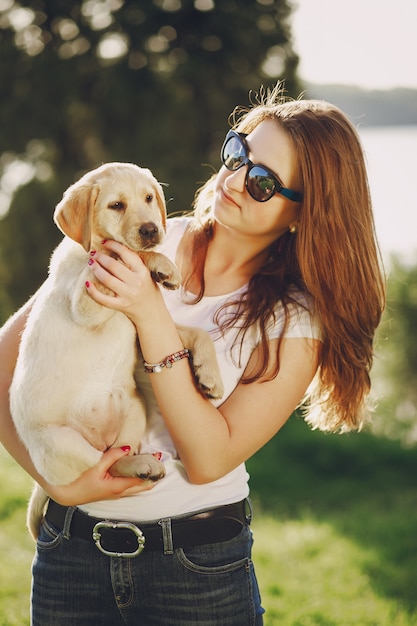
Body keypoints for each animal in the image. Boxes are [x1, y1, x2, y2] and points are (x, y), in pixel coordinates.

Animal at [9, 161, 223, 536]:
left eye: (149, 198)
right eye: (116, 205)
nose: (151, 230)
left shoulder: (142, 333)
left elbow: (198, 334)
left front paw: (209, 377)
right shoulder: (86, 301)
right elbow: (117, 254)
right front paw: (156, 261)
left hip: (134, 409)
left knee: (118, 453)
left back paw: (138, 460)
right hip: (60, 442)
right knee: (103, 465)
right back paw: (142, 466)